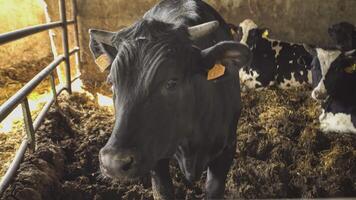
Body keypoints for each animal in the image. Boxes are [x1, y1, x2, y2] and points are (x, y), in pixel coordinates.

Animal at [88, 0, 252, 198]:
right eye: (112, 82)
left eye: (172, 82)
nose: (113, 162)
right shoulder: (155, 155)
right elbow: (162, 190)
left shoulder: (227, 149)